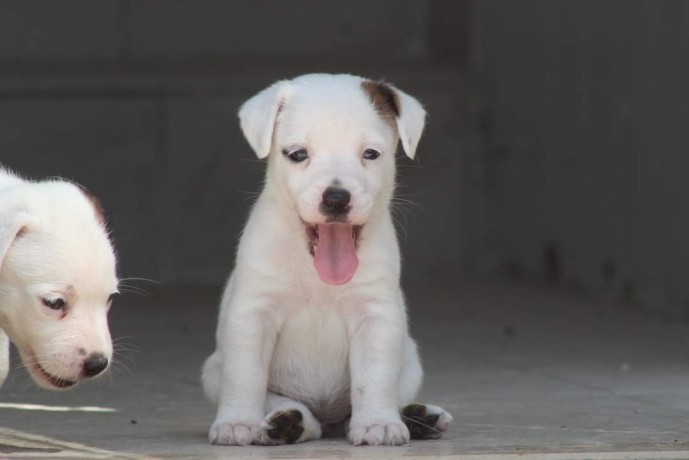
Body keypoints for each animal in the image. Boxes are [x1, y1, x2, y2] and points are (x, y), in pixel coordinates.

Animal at [200, 73, 452, 446]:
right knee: (285, 406)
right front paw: (236, 423)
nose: (336, 198)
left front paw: (377, 423)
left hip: (410, 366)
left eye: (371, 154)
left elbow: (374, 379)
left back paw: (420, 417)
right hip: (214, 371)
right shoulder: (252, 315)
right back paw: (288, 421)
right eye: (298, 154)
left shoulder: (375, 317)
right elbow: (245, 377)